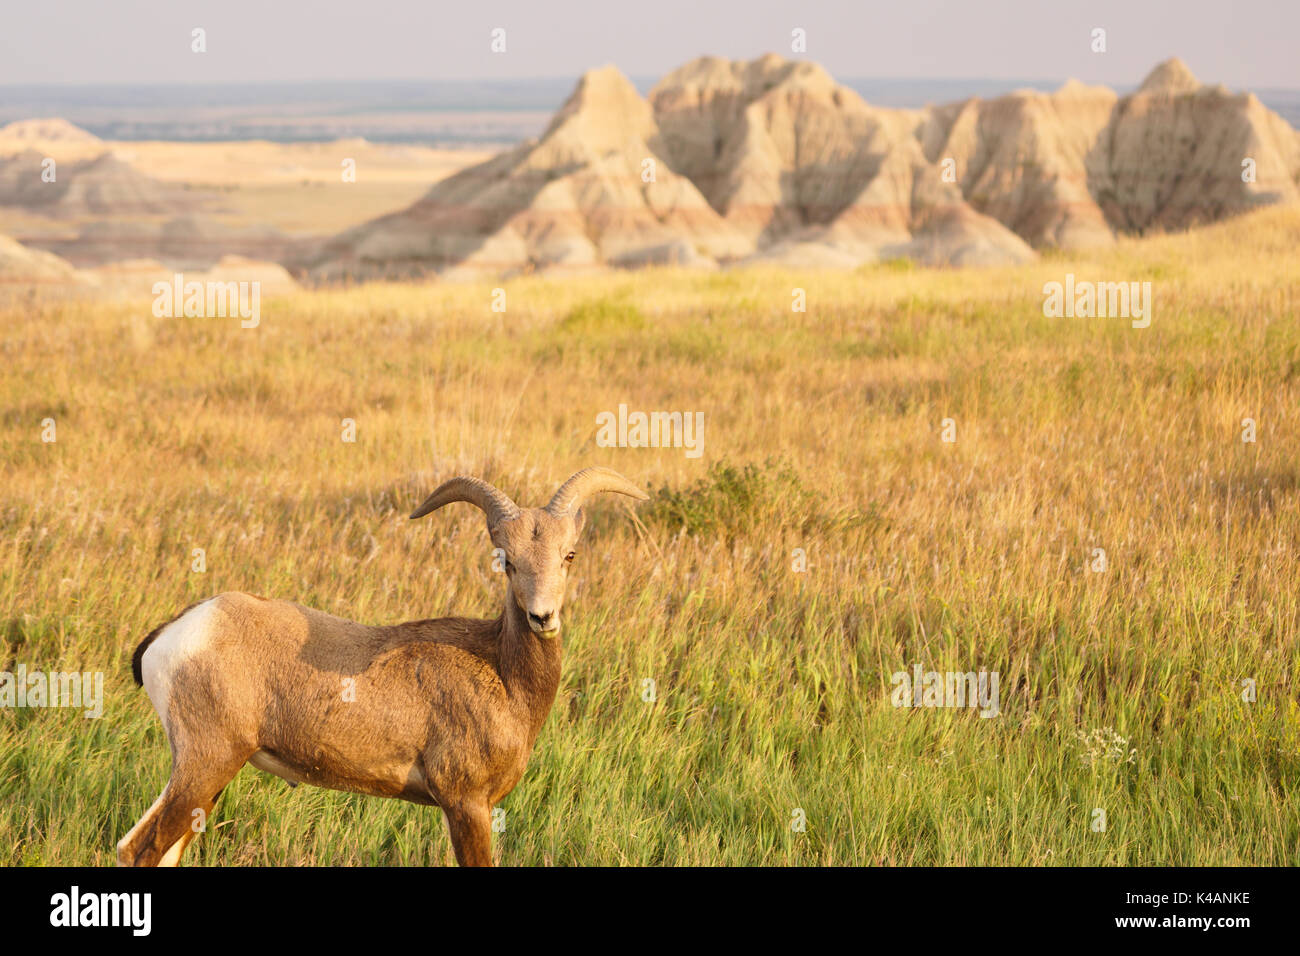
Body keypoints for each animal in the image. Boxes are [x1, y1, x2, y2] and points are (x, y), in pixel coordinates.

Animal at [116, 468, 650, 868]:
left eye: (569, 555)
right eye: (508, 561)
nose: (543, 617)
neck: (499, 673)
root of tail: (176, 632)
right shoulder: (466, 804)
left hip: (206, 778)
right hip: (206, 765)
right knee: (143, 849)